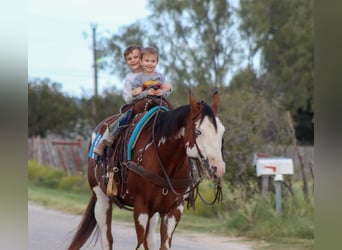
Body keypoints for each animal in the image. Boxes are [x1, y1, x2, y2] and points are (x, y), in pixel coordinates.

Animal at [68, 92, 226, 250]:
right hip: (102, 198)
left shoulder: (174, 210)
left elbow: (163, 245)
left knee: (149, 239)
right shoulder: (141, 208)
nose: (218, 168)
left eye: (222, 132)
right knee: (107, 239)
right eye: (198, 131)